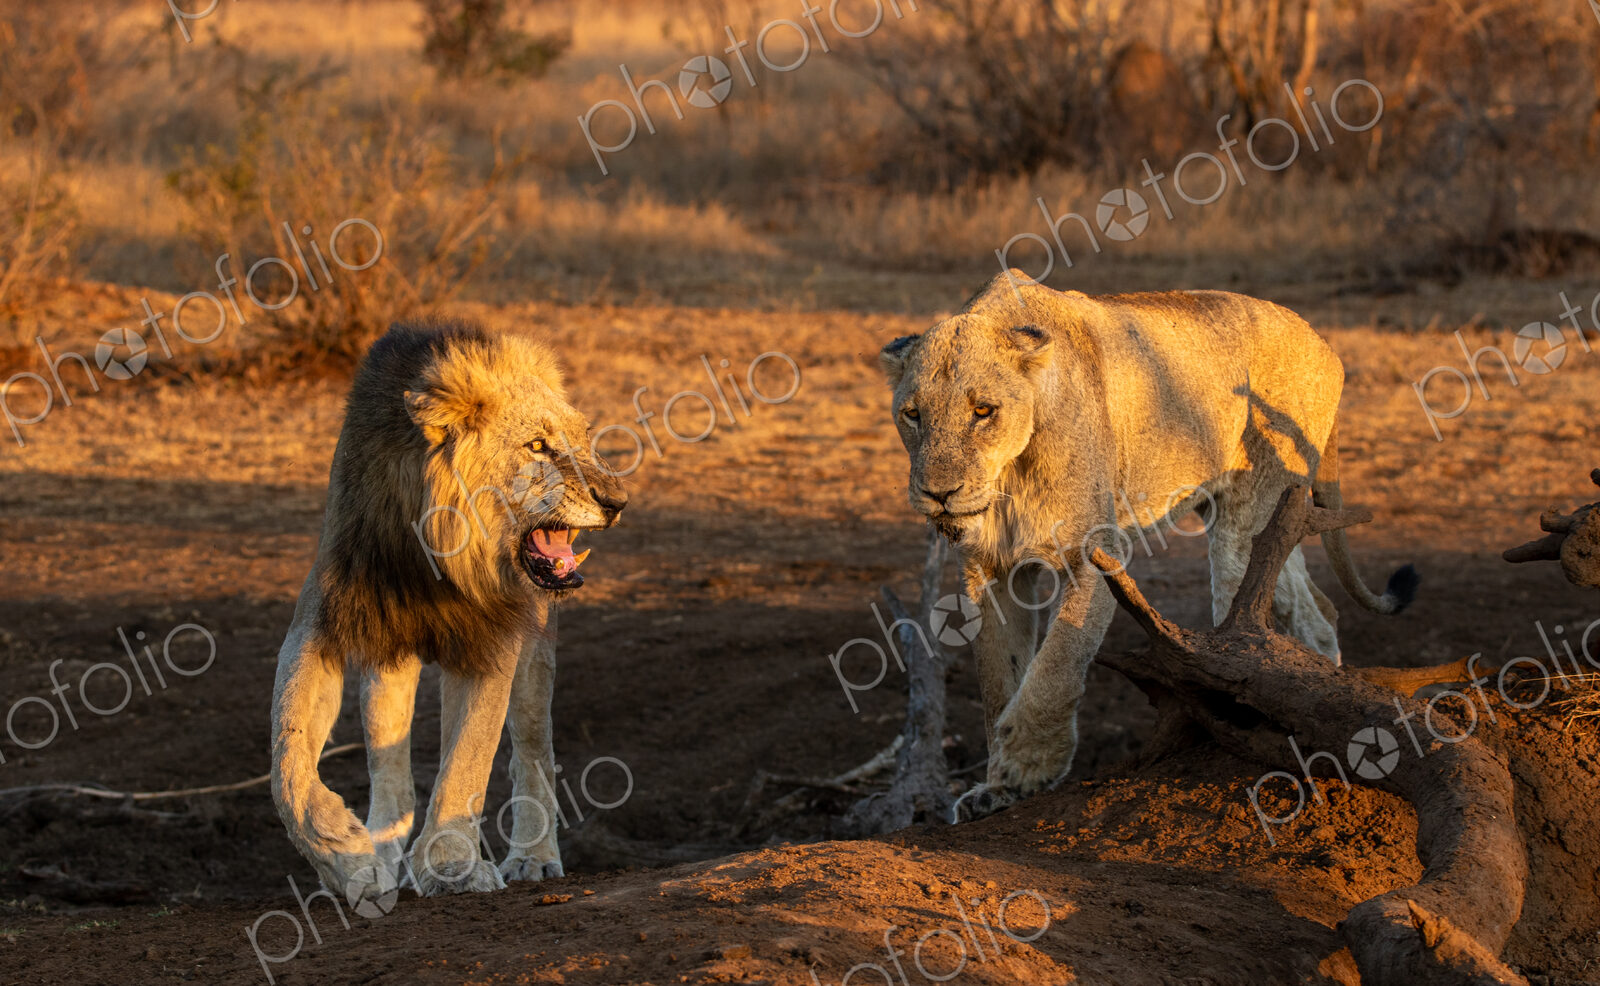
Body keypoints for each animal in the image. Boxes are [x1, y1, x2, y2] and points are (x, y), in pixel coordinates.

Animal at [270, 319, 627, 904]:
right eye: (537, 446)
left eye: (583, 439)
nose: (617, 501)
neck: (437, 553)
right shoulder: (323, 624)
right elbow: (287, 758)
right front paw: (345, 856)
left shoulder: (496, 634)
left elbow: (469, 757)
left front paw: (451, 863)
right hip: (388, 661)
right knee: (389, 769)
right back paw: (380, 851)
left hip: (536, 647)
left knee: (532, 745)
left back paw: (532, 856)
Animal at [879, 271, 1417, 820]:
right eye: (913, 414)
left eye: (983, 411)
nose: (938, 493)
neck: (1009, 474)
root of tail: (1323, 341)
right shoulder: (990, 570)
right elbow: (998, 681)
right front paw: (996, 788)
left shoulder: (1093, 553)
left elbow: (1055, 667)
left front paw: (1028, 768)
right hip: (1262, 512)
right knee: (1316, 609)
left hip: (1247, 514)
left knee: (1244, 624)